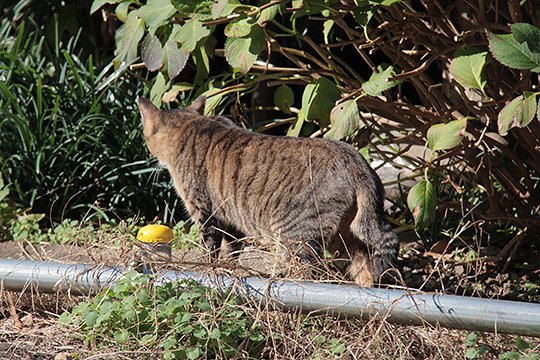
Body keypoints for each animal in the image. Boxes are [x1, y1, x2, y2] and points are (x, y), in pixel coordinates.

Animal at [138, 96, 400, 286]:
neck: (193, 125)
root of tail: (359, 166)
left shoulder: (204, 212)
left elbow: (209, 249)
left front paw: (208, 269)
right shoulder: (232, 221)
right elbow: (231, 251)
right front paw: (227, 268)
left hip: (296, 237)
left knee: (309, 273)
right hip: (347, 239)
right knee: (364, 270)